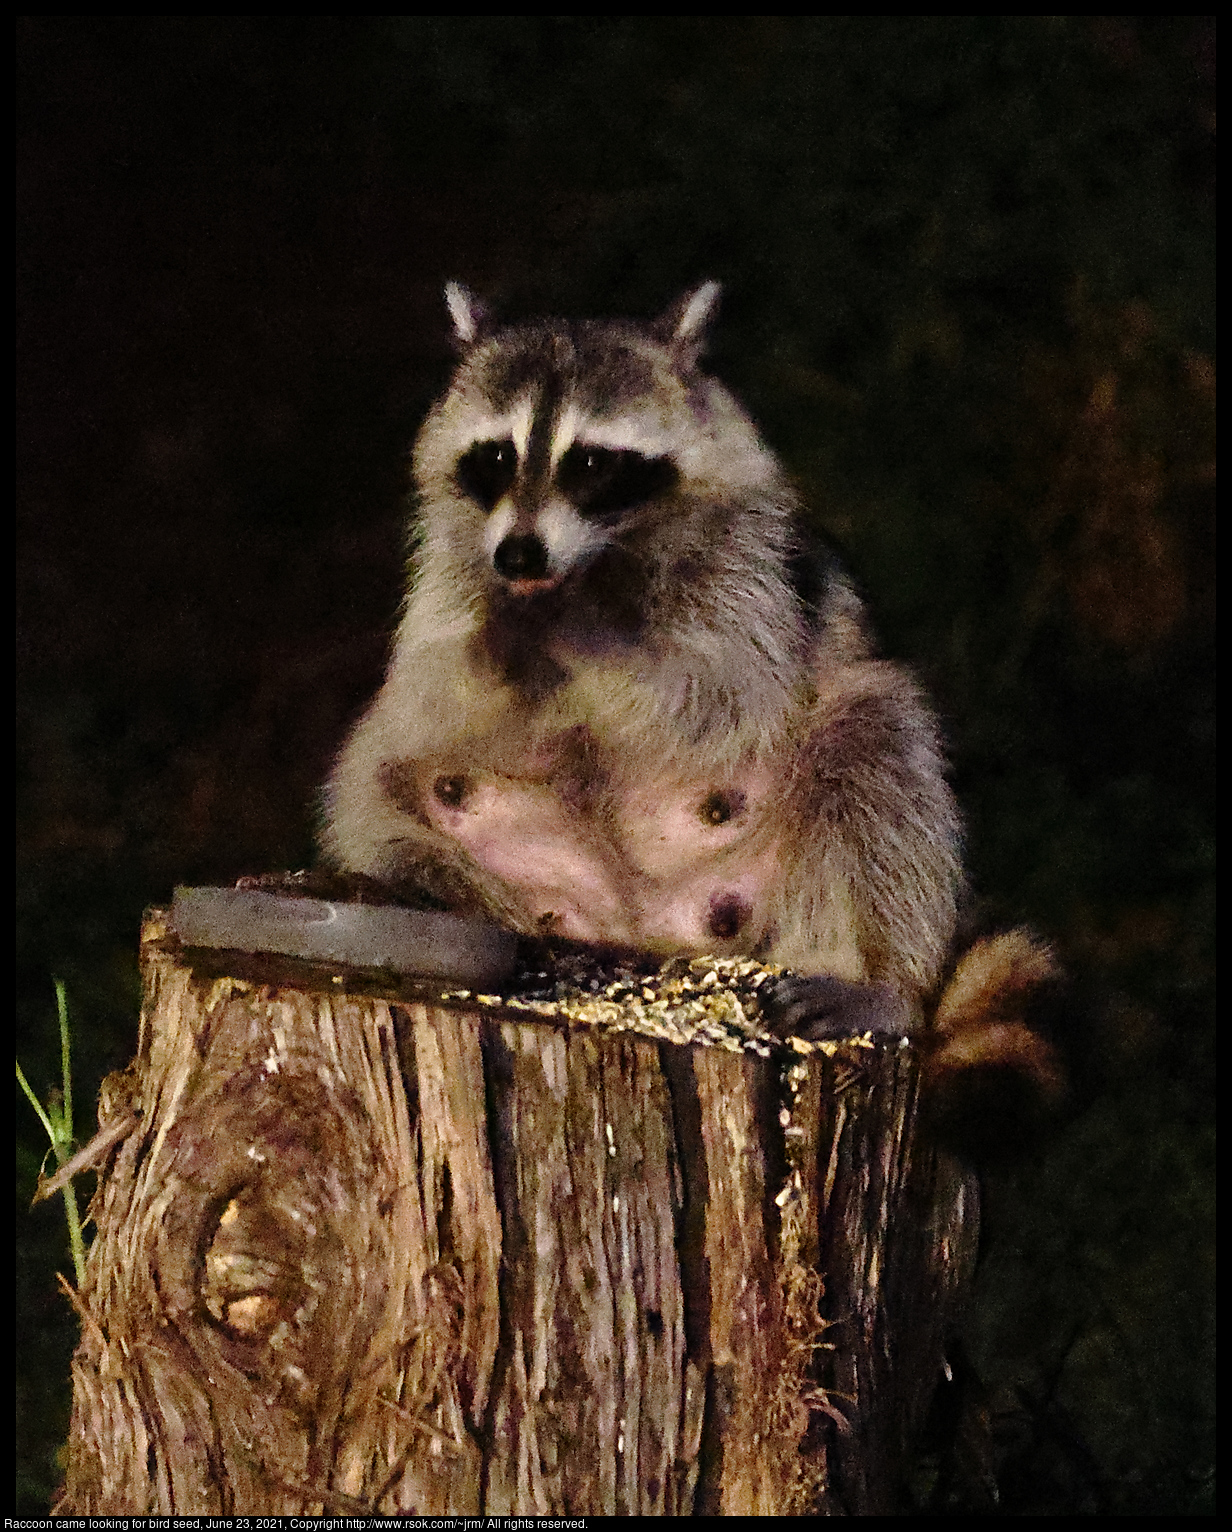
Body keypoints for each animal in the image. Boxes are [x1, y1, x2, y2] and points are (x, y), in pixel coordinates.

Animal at [324, 281, 1048, 1047]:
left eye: (589, 463)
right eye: (494, 456)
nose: (519, 555)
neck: (588, 564)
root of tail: (633, 925)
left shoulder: (755, 571)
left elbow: (728, 690)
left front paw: (592, 633)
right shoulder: (448, 571)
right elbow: (432, 688)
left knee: (876, 747)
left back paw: (879, 978)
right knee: (372, 792)